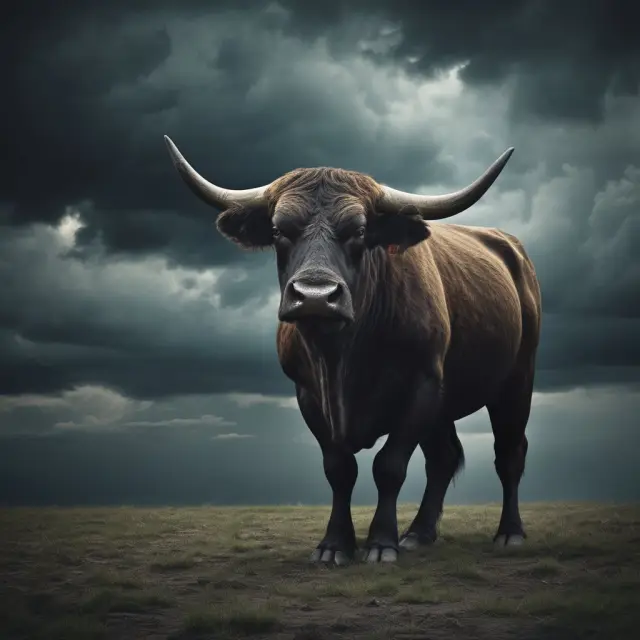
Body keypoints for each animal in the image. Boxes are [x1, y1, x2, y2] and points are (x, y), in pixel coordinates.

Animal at [164, 135, 542, 565]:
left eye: (359, 231)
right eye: (278, 230)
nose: (314, 296)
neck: (341, 357)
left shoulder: (421, 385)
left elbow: (389, 466)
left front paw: (381, 544)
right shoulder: (309, 395)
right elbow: (339, 469)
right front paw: (334, 545)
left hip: (516, 381)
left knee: (509, 453)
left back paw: (509, 533)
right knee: (442, 459)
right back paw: (419, 533)